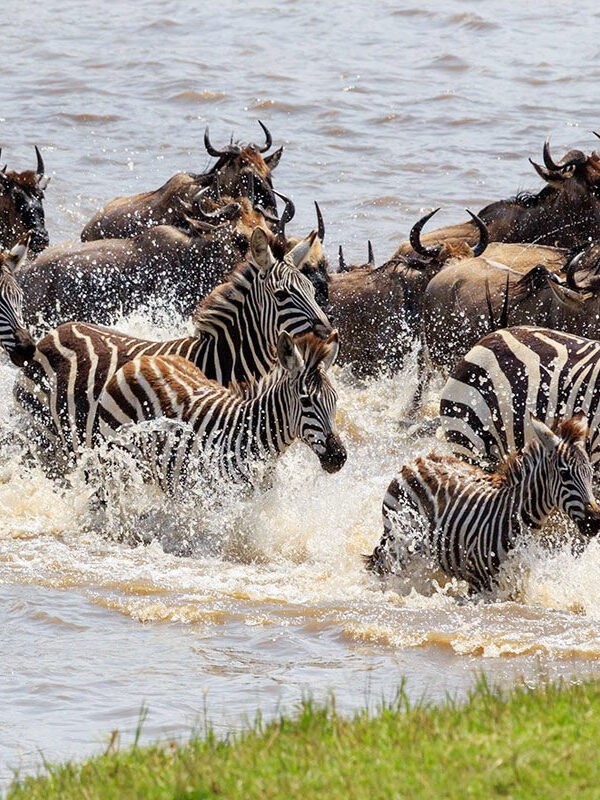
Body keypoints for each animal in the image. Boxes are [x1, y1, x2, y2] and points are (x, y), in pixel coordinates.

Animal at [13, 227, 333, 474]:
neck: (217, 361)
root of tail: (55, 332)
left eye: (310, 289)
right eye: (282, 294)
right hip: (44, 435)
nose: (329, 334)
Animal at [97, 331, 346, 491]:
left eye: (334, 400)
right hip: (118, 458)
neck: (253, 436)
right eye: (306, 401)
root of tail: (141, 361)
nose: (339, 457)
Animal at [366, 414, 600, 594]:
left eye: (590, 474)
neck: (517, 519)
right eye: (565, 474)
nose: (594, 522)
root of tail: (417, 461)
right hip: (398, 542)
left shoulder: (513, 585)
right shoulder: (479, 583)